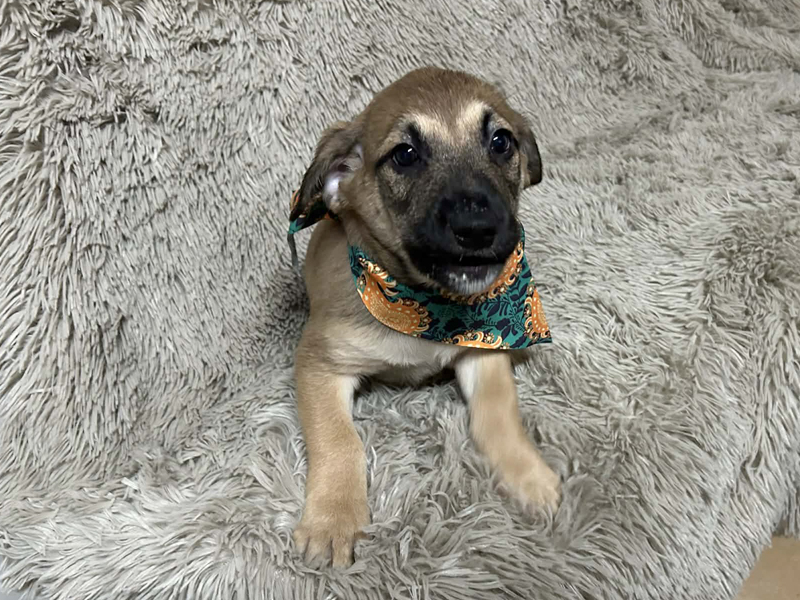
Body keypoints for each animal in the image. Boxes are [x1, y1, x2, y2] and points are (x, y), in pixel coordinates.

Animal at [290, 67, 560, 567]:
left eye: (501, 142)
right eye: (406, 155)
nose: (478, 229)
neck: (422, 307)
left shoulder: (484, 349)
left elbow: (498, 414)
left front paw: (527, 475)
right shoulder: (318, 362)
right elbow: (339, 440)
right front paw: (333, 519)